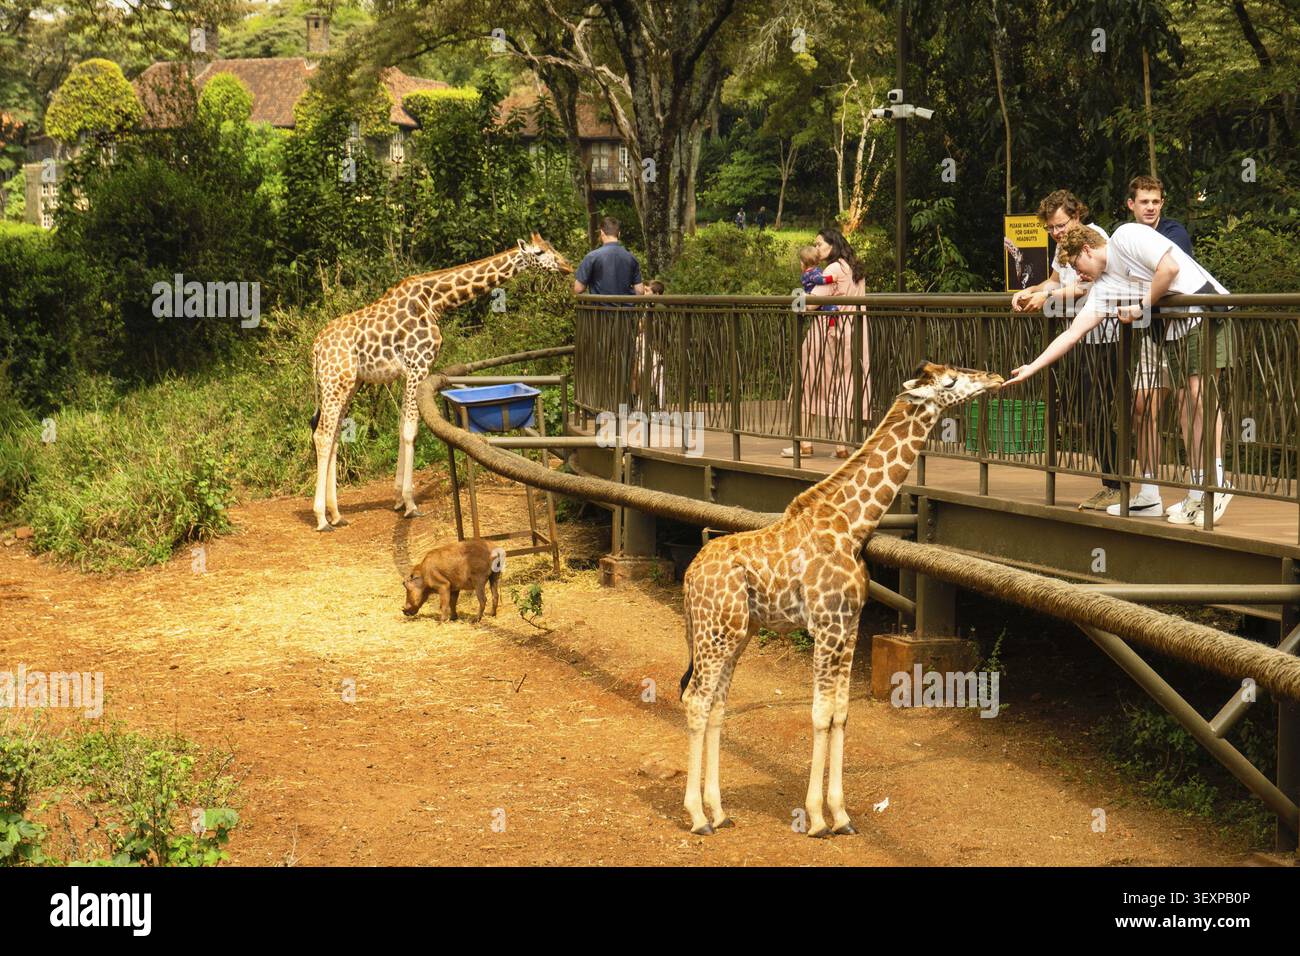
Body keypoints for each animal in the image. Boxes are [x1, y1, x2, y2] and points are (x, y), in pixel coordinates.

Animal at [309, 234, 572, 532]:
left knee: (334, 436)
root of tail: (316, 349)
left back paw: (336, 514)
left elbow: (402, 426)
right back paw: (321, 518)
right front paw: (410, 504)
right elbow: (410, 431)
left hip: (349, 383)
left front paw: (398, 499)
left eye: (552, 247)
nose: (567, 266)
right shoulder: (418, 365)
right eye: (539, 253)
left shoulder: (408, 372)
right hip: (335, 381)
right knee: (322, 435)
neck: (435, 300)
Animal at [679, 362, 1004, 837]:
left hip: (736, 633)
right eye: (950, 382)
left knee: (718, 703)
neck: (852, 526)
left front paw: (842, 815)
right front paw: (816, 818)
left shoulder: (850, 627)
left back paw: (719, 811)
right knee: (696, 700)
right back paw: (698, 817)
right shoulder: (826, 626)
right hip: (714, 633)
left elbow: (840, 713)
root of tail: (689, 575)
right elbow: (818, 713)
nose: (995, 378)